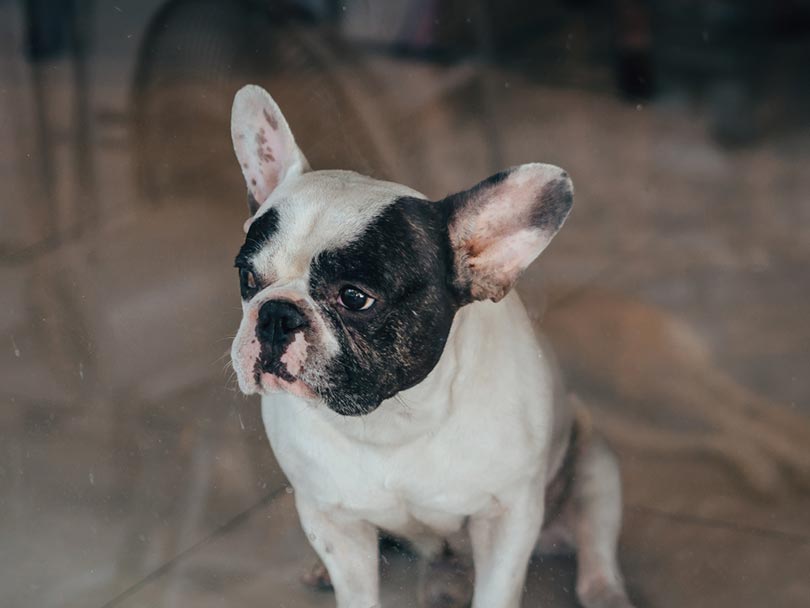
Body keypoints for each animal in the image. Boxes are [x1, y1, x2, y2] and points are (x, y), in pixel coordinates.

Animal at [227, 85, 632, 608]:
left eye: (355, 297)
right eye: (247, 277)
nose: (277, 315)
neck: (396, 421)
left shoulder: (507, 517)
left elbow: (497, 591)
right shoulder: (330, 519)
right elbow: (356, 590)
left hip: (596, 468)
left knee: (594, 546)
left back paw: (603, 591)